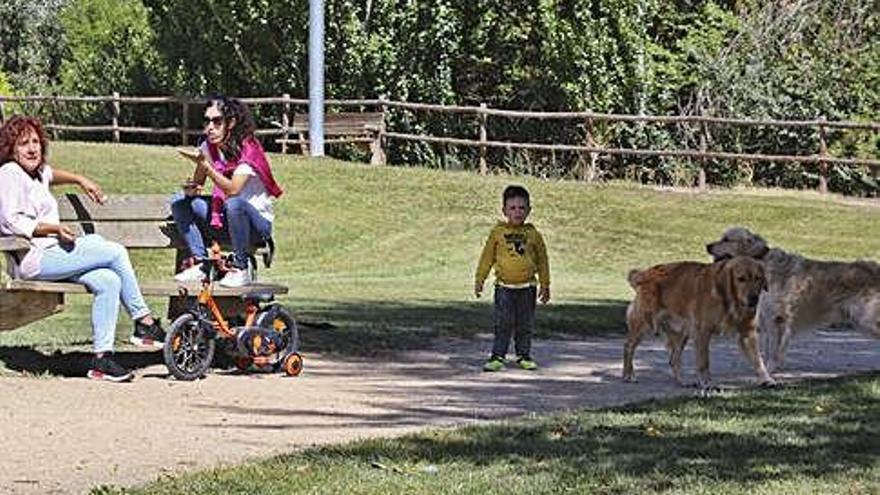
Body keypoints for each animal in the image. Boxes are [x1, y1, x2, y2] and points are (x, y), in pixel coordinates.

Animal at [624, 256, 772, 392]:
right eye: (741, 279)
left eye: (758, 278)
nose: (754, 299)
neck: (728, 298)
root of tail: (644, 273)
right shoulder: (703, 332)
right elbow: (704, 362)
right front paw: (706, 383)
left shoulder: (748, 332)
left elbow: (758, 359)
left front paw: (766, 379)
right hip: (645, 324)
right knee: (629, 346)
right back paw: (628, 375)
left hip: (681, 333)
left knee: (673, 359)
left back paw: (683, 382)